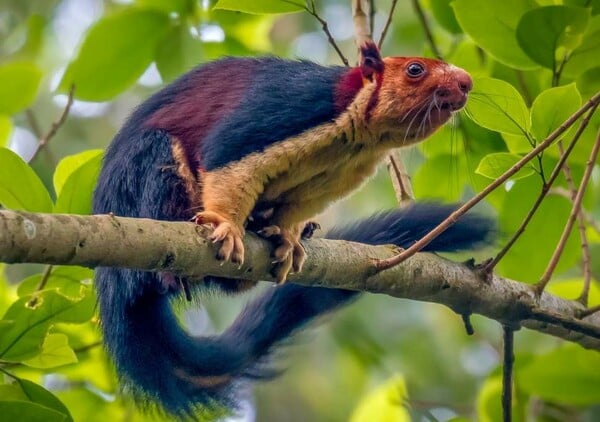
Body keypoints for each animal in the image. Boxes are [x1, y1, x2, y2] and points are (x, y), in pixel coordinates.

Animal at [91, 42, 490, 416]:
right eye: (415, 69)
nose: (466, 83)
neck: (360, 136)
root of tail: (113, 285)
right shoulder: (290, 107)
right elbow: (227, 156)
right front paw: (226, 226)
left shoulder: (337, 176)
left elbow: (296, 208)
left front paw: (288, 237)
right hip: (143, 180)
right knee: (158, 158)